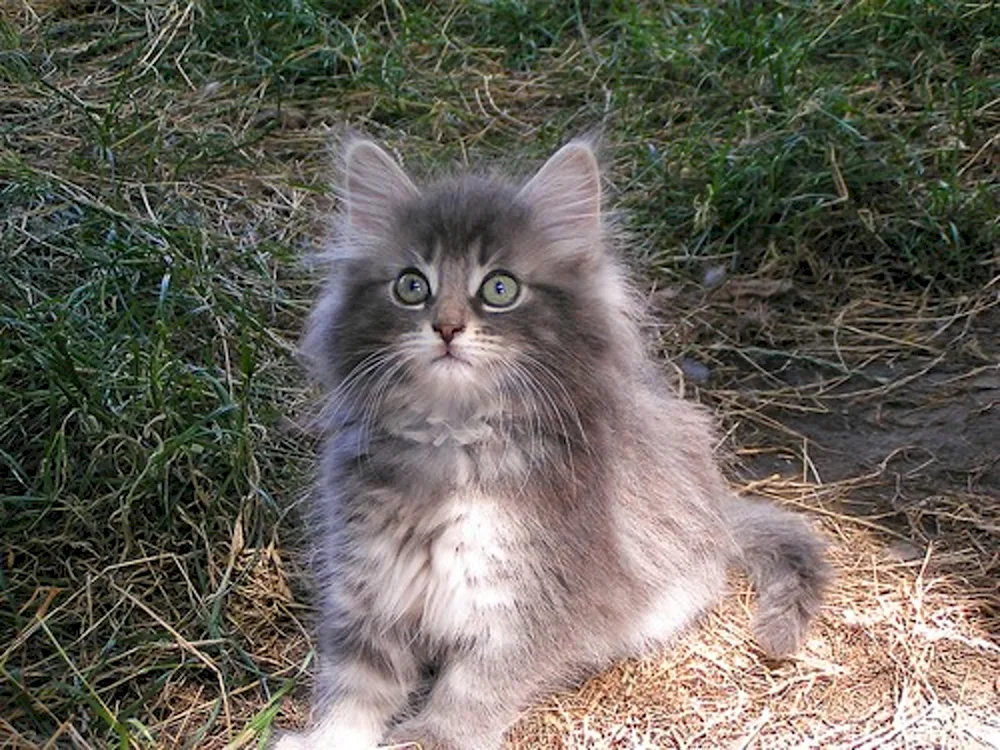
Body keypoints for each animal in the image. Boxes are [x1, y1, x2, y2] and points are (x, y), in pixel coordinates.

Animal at [276, 137, 828, 750]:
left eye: (500, 288)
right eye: (411, 285)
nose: (446, 327)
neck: (451, 444)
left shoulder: (527, 600)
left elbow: (474, 687)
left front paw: (432, 737)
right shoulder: (368, 583)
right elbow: (354, 686)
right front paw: (324, 738)